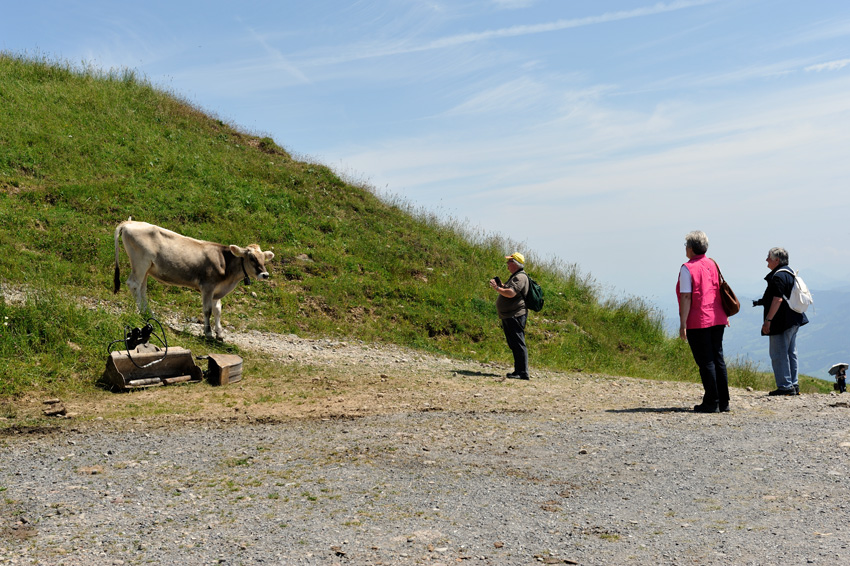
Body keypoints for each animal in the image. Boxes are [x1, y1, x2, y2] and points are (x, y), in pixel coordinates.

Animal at [112, 220, 272, 340]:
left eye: (264, 259)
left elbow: (218, 310)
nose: (265, 275)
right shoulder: (208, 286)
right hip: (140, 262)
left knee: (142, 289)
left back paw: (149, 314)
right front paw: (208, 333)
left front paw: (219, 333)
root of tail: (129, 223)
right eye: (252, 258)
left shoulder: (218, 290)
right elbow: (207, 310)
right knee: (134, 284)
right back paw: (140, 313)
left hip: (146, 268)